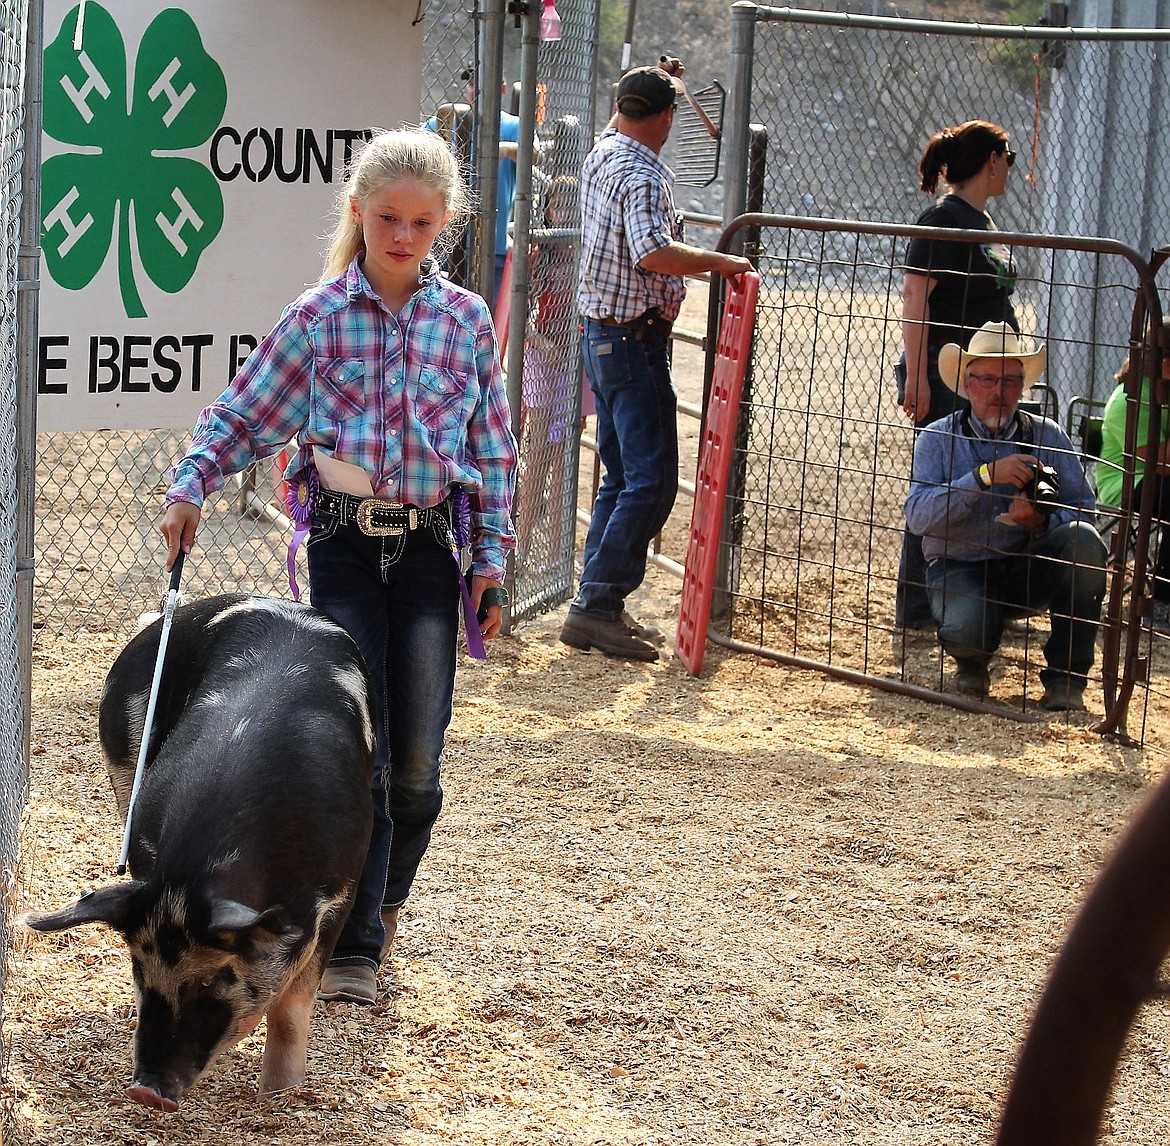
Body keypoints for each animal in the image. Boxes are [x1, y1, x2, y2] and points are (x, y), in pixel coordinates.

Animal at [21, 596, 374, 1114]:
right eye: (139, 970)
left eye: (214, 981)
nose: (146, 1090)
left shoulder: (341, 891)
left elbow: (292, 1007)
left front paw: (279, 1095)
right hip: (125, 763)